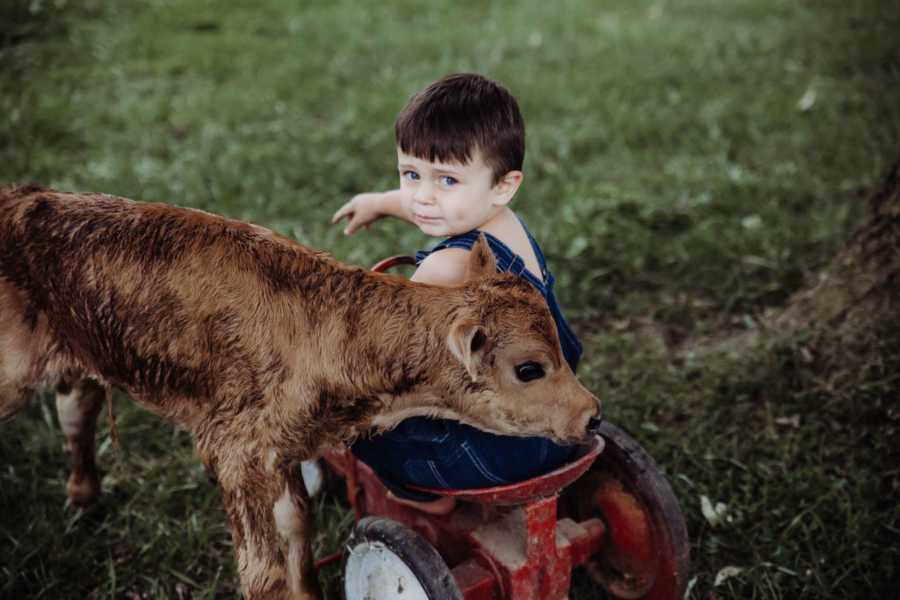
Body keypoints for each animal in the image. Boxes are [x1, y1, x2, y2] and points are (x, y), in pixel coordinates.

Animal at [1, 185, 604, 596]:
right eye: (528, 368)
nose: (593, 415)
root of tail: (26, 196)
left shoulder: (284, 447)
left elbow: (298, 529)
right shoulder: (238, 453)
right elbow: (263, 570)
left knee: (76, 406)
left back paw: (84, 497)